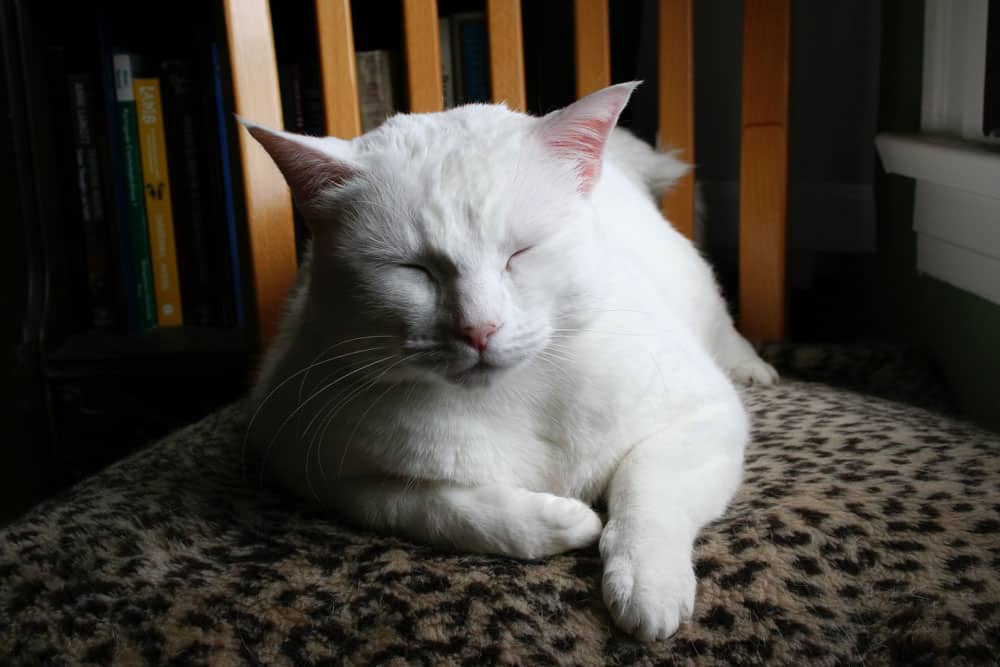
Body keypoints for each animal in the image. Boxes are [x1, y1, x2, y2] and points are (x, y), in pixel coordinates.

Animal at [246, 83, 776, 640]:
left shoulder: (704, 416)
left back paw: (751, 365)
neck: (516, 395)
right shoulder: (320, 472)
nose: (478, 328)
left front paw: (645, 586)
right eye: (413, 270)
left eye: (520, 253)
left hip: (694, 286)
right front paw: (564, 522)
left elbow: (647, 484)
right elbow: (439, 509)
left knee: (721, 325)